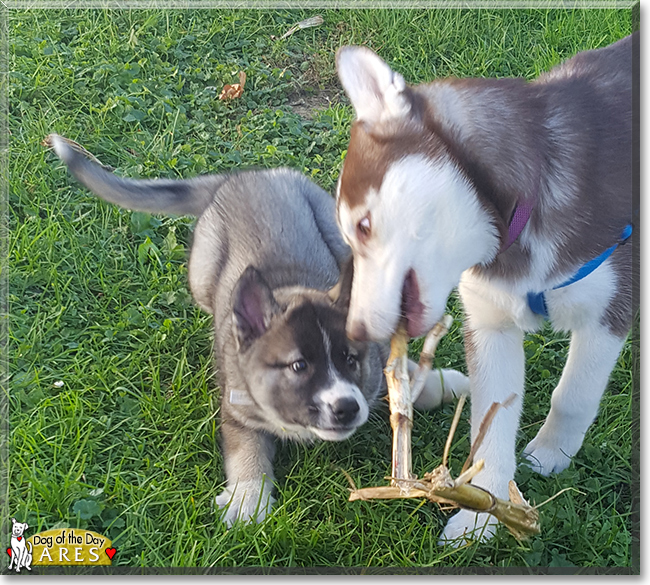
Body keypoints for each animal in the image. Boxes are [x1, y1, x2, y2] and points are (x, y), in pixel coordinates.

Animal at [48, 133, 468, 524]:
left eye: (350, 359)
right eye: (298, 366)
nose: (347, 408)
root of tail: (243, 177)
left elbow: (401, 378)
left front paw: (447, 384)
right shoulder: (237, 412)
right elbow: (246, 452)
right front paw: (248, 499)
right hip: (201, 273)